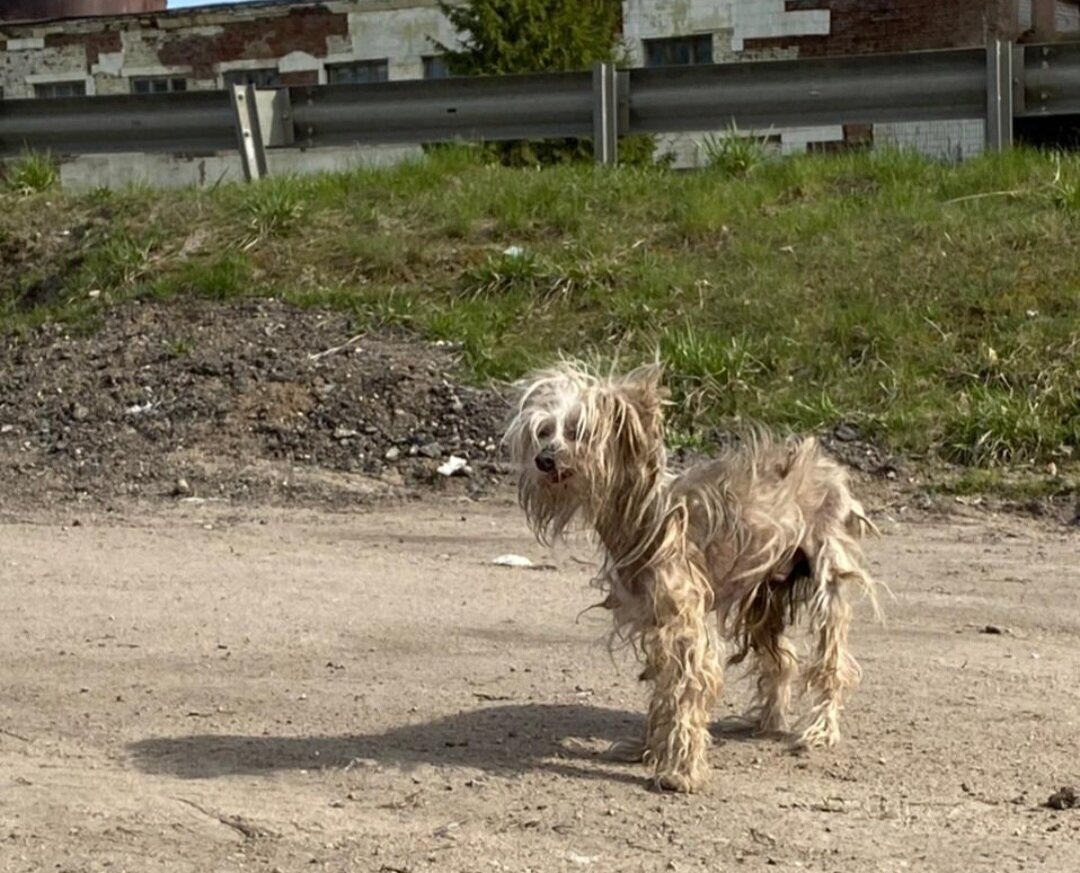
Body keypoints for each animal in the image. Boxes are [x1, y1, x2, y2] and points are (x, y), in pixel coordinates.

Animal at [503, 360, 876, 790]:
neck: (641, 519)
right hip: (764, 593)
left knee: (833, 663)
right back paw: (765, 722)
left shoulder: (684, 628)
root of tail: (828, 465)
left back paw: (820, 728)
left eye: (579, 431)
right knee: (781, 659)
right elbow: (663, 689)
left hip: (828, 579)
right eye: (544, 431)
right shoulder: (653, 622)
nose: (544, 460)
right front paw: (648, 749)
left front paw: (680, 770)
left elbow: (685, 691)